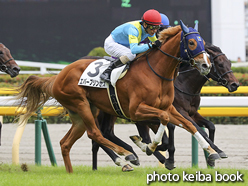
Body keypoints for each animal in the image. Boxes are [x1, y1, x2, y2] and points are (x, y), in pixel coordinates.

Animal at [14, 22, 217, 173]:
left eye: (203, 43)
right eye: (192, 43)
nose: (206, 65)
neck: (157, 73)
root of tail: (58, 76)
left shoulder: (169, 107)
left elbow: (189, 124)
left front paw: (212, 152)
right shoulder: (137, 111)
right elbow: (163, 123)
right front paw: (148, 147)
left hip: (83, 112)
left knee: (66, 142)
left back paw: (71, 173)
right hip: (81, 104)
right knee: (95, 133)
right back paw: (126, 156)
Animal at [92, 41, 239, 170]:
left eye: (229, 63)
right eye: (220, 64)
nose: (235, 84)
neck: (183, 84)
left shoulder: (192, 113)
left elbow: (210, 126)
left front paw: (212, 158)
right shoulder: (179, 111)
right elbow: (198, 130)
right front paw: (216, 151)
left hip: (112, 111)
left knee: (107, 133)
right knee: (101, 135)